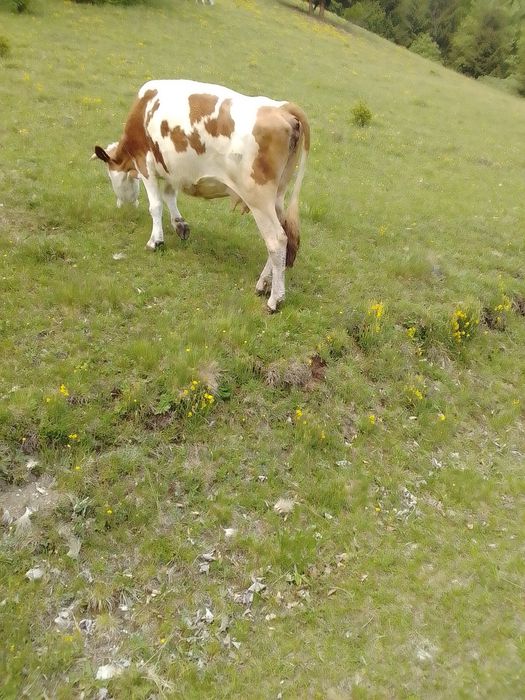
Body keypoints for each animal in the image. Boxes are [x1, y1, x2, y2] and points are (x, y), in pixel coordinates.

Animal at [93, 80, 310, 312]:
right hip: (277, 196)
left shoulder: (145, 162)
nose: (122, 206)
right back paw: (263, 284)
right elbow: (169, 195)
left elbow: (155, 205)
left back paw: (275, 299)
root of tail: (282, 107)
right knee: (283, 235)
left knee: (276, 240)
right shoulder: (172, 169)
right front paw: (179, 224)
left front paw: (155, 241)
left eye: (110, 176)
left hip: (259, 199)